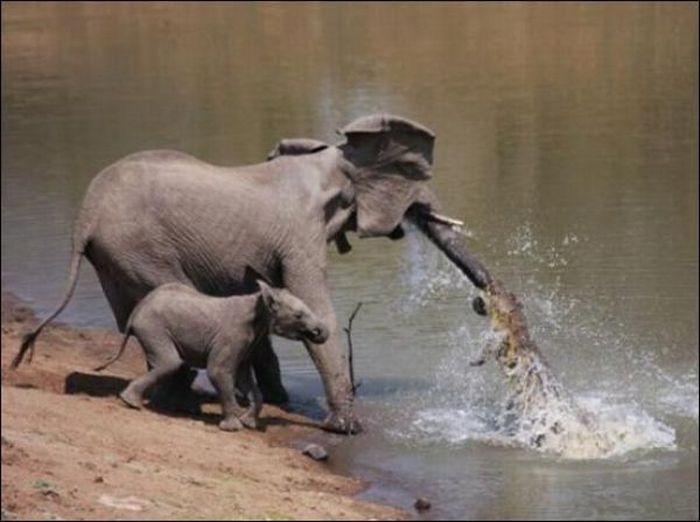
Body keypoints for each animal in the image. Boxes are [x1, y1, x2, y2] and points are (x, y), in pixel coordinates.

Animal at [93, 280, 330, 430]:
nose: (319, 332)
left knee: (169, 364)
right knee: (171, 363)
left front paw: (248, 424)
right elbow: (219, 371)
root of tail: (138, 308)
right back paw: (131, 402)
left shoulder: (248, 342)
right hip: (153, 328)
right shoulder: (232, 336)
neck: (259, 301)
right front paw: (233, 428)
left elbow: (244, 379)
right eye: (299, 315)